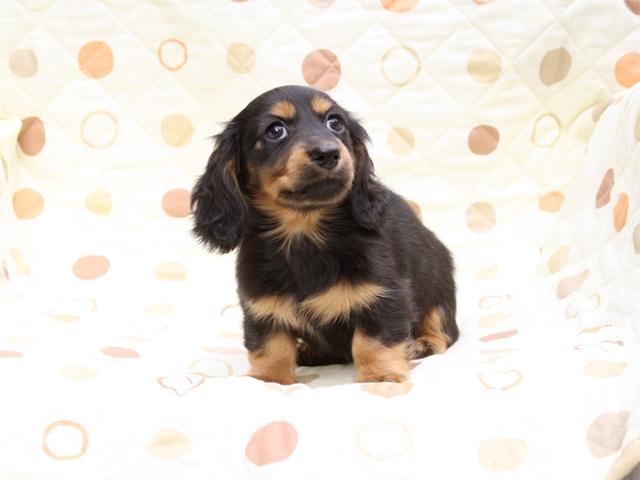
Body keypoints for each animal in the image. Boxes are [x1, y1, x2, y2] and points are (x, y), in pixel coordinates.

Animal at [191, 85, 458, 384]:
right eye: (275, 130)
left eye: (335, 123)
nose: (328, 153)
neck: (304, 233)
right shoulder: (262, 308)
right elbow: (271, 348)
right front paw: (268, 381)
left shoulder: (384, 296)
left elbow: (374, 341)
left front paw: (380, 376)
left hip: (438, 287)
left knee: (443, 327)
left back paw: (423, 342)